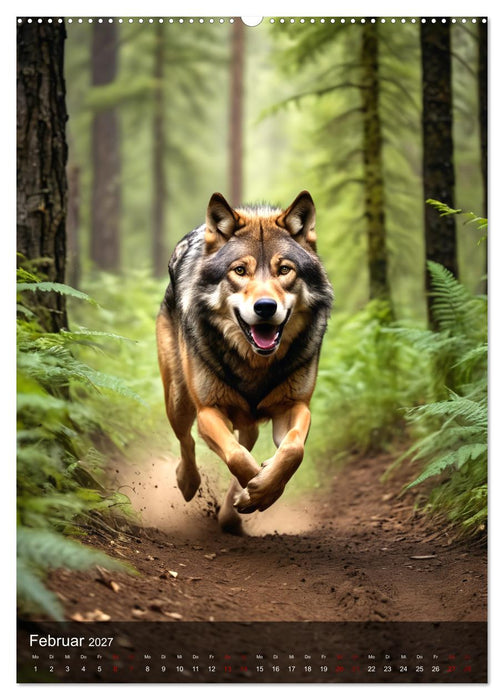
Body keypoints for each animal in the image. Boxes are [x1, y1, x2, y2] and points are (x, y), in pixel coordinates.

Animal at [156, 190, 333, 533]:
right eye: (240, 271)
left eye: (284, 270)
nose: (265, 307)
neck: (255, 365)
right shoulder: (209, 410)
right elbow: (237, 457)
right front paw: (256, 491)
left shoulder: (295, 406)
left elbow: (292, 450)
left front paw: (261, 491)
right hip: (179, 401)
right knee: (186, 440)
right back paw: (188, 483)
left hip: (244, 417)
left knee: (247, 441)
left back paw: (230, 514)